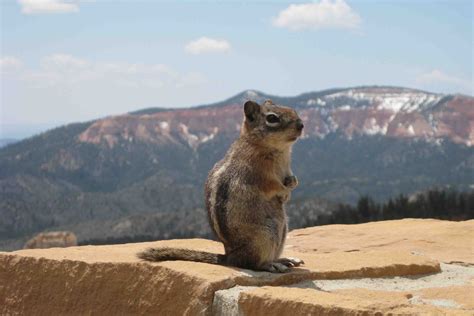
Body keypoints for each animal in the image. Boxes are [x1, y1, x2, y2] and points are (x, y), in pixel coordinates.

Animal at [139, 99, 306, 272]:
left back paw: (286, 259)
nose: (301, 125)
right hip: (265, 236)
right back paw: (271, 265)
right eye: (272, 118)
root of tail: (230, 257)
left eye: (292, 110)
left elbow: (291, 178)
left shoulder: (286, 168)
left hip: (282, 230)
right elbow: (273, 185)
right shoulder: (259, 174)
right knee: (251, 264)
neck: (280, 150)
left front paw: (293, 183)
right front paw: (285, 191)